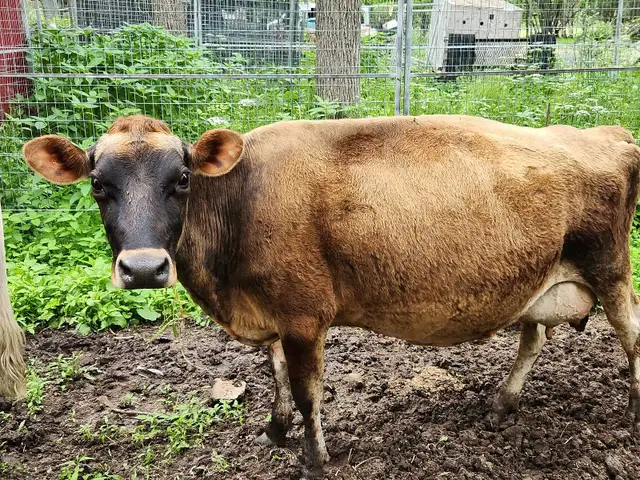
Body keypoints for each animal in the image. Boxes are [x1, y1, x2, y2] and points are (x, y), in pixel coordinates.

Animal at [23, 114, 640, 476]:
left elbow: (306, 391)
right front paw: (274, 431)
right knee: (533, 338)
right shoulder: (271, 311)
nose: (145, 268)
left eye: (182, 178)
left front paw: (314, 458)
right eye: (98, 184)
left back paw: (633, 406)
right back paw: (501, 402)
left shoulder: (303, 315)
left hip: (610, 267)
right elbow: (273, 372)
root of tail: (605, 133)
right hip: (536, 277)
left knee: (631, 335)